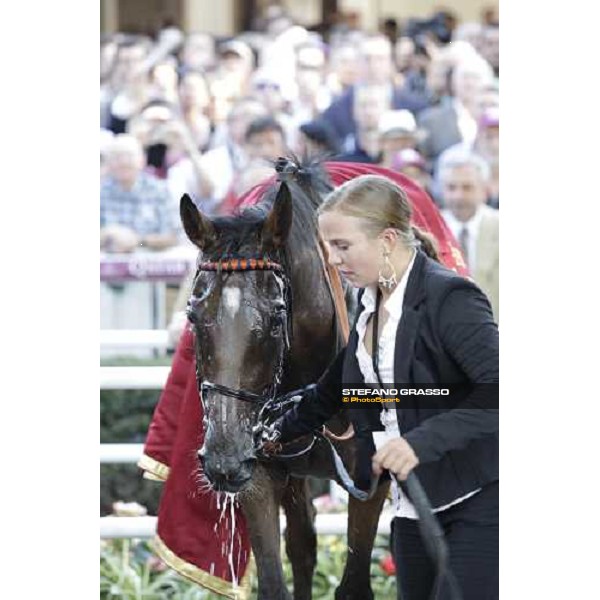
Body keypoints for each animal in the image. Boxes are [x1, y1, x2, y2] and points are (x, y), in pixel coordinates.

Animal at [180, 157, 392, 596]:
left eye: (277, 317)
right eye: (193, 315)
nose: (224, 455)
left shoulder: (371, 480)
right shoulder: (259, 473)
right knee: (303, 547)